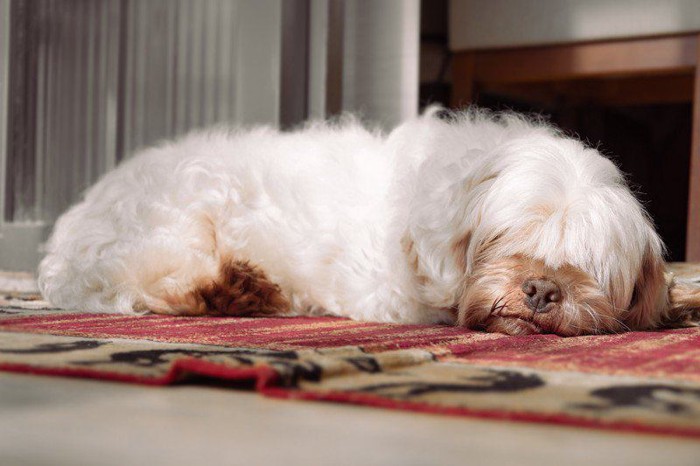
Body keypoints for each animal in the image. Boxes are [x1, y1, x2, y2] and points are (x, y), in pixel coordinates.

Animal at [38, 108, 700, 334]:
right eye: (502, 241)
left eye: (587, 267)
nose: (540, 289)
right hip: (178, 217)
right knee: (142, 284)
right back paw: (233, 288)